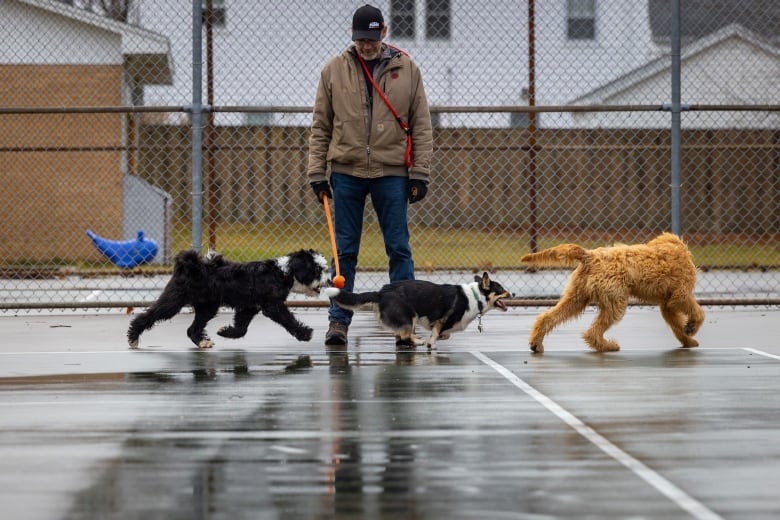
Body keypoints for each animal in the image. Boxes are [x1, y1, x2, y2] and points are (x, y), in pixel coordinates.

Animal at [126, 249, 328, 350]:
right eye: (317, 270)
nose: (327, 280)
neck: (282, 272)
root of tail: (191, 266)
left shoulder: (249, 307)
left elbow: (241, 328)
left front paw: (226, 332)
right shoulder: (272, 306)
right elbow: (288, 320)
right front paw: (305, 334)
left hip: (207, 307)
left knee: (192, 329)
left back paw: (202, 342)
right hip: (173, 302)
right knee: (149, 316)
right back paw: (133, 337)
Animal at [322, 272, 512, 350]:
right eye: (502, 289)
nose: (514, 293)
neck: (476, 296)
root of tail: (381, 292)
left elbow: (444, 335)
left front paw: (435, 340)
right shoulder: (442, 320)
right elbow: (436, 334)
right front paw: (430, 343)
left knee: (402, 335)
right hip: (409, 317)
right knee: (405, 335)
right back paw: (419, 341)